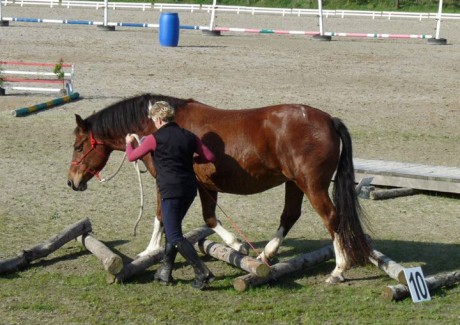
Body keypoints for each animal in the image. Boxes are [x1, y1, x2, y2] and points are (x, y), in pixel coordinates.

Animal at [66, 92, 372, 282]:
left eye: (78, 146)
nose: (72, 181)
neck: (160, 128)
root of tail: (328, 120)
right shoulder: (200, 185)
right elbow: (195, 217)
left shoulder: (182, 183)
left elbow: (182, 217)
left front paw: (152, 250)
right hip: (294, 184)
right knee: (290, 216)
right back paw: (266, 253)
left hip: (312, 185)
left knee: (331, 219)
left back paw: (338, 270)